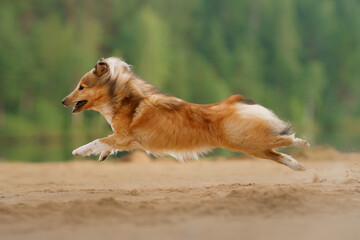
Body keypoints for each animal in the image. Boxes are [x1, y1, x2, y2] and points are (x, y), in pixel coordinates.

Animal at [62, 57, 310, 171]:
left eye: (81, 86)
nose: (63, 101)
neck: (125, 100)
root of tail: (233, 102)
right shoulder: (127, 140)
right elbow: (106, 144)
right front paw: (103, 156)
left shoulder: (125, 136)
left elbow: (97, 141)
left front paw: (78, 151)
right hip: (253, 147)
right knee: (281, 155)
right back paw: (302, 168)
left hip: (246, 141)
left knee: (285, 139)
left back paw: (303, 143)